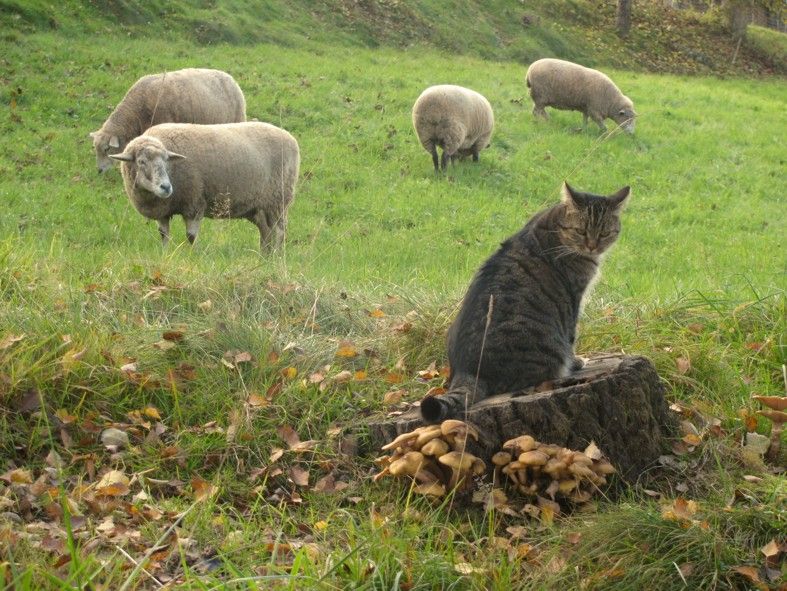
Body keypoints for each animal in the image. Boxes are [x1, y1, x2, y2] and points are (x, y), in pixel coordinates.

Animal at [112, 122, 304, 252]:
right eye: (141, 162)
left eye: (166, 160)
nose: (166, 187)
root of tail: (290, 138)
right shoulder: (163, 210)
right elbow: (163, 234)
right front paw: (165, 254)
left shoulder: (194, 202)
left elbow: (191, 236)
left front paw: (194, 254)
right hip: (259, 206)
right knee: (266, 231)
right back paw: (264, 256)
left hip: (279, 199)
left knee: (279, 232)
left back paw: (276, 256)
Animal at [422, 183, 632, 424]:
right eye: (581, 231)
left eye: (604, 233)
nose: (592, 246)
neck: (556, 227)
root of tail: (469, 370)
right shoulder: (574, 299)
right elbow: (572, 335)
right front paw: (575, 361)